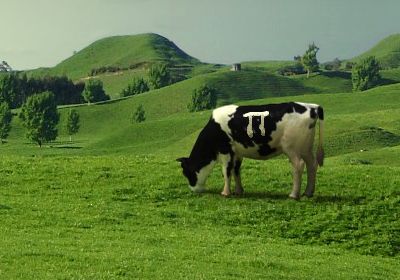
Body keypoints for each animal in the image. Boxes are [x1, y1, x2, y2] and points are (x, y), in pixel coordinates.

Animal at [178, 101, 324, 200]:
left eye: (186, 173)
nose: (193, 190)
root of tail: (313, 107)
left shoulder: (226, 151)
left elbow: (226, 171)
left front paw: (225, 193)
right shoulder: (237, 153)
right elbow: (236, 170)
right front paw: (238, 191)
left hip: (292, 148)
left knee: (298, 165)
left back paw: (294, 194)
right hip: (306, 148)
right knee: (312, 164)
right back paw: (308, 192)